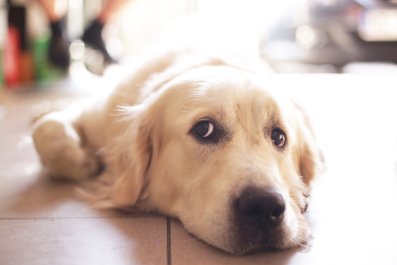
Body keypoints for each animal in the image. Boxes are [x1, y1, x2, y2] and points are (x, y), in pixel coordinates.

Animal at [31, 47, 322, 254]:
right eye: (204, 129)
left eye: (278, 137)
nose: (264, 206)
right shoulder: (98, 115)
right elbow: (47, 131)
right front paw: (89, 162)